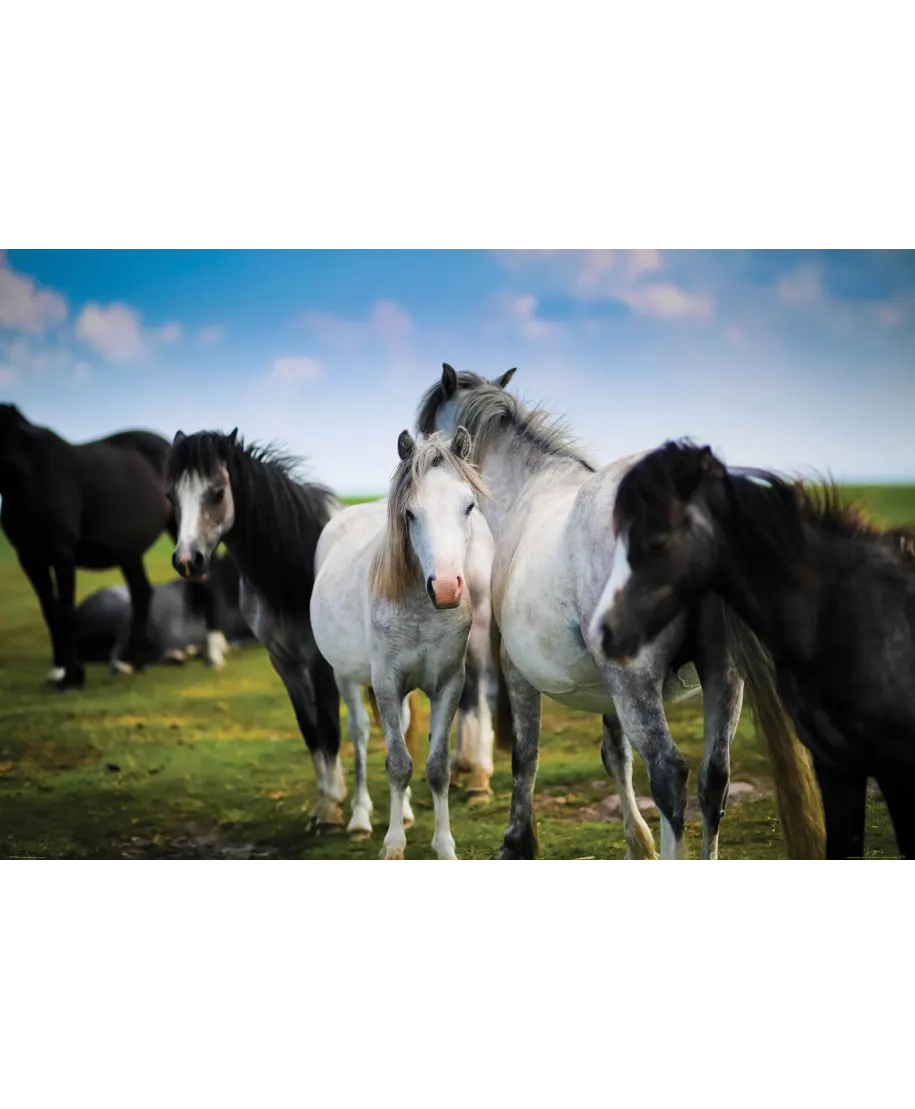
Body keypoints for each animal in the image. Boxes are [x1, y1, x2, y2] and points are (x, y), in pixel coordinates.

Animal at [0, 403, 217, 687]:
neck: (31, 473)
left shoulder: (62, 553)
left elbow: (65, 610)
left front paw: (72, 676)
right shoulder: (29, 557)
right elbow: (50, 611)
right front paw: (59, 670)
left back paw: (211, 655)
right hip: (128, 551)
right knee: (141, 593)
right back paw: (132, 661)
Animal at [308, 428, 492, 860]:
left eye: (468, 506)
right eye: (410, 513)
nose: (446, 588)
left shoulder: (448, 685)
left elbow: (436, 767)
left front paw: (445, 848)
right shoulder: (387, 685)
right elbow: (396, 763)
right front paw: (393, 847)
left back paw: (404, 812)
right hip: (346, 677)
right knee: (360, 735)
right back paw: (359, 819)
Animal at [417, 368, 825, 860]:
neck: (531, 490)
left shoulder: (519, 671)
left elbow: (524, 757)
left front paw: (517, 842)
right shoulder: (606, 687)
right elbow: (616, 755)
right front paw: (637, 846)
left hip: (637, 682)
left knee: (670, 774)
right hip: (722, 676)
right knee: (714, 779)